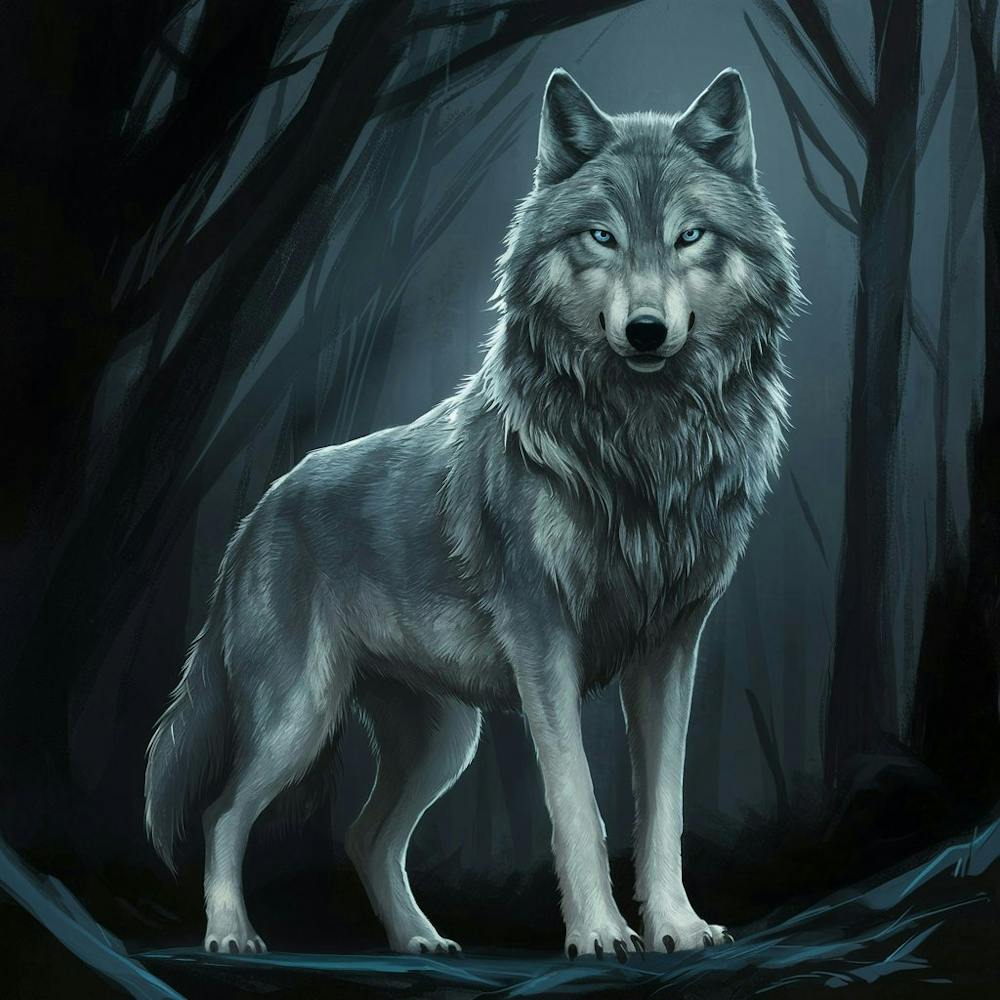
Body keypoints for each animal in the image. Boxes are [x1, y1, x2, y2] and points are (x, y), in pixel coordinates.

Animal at [145, 66, 800, 960]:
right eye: (601, 237)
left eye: (690, 236)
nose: (645, 330)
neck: (643, 448)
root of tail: (258, 515)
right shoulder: (543, 646)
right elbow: (577, 805)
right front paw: (600, 934)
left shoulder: (670, 650)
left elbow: (662, 811)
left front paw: (676, 926)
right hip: (300, 719)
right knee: (222, 813)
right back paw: (231, 935)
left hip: (443, 742)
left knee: (364, 835)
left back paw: (419, 940)